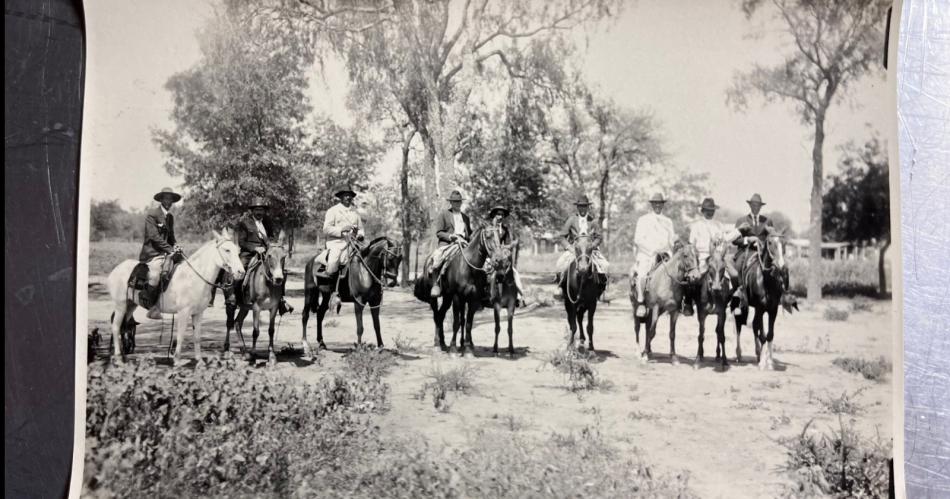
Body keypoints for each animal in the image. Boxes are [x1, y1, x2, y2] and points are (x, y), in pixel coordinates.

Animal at [105, 230, 245, 368]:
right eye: (227, 250)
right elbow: (181, 335)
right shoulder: (183, 312)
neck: (193, 278)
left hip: (130, 305)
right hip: (121, 305)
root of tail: (116, 269)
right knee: (116, 327)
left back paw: (123, 356)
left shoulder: (198, 313)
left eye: (237, 250)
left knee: (123, 327)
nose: (241, 272)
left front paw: (199, 361)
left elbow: (197, 337)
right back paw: (118, 358)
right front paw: (177, 360)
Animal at [225, 234, 288, 368]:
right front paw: (253, 358)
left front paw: (272, 357)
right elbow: (255, 331)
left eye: (284, 256)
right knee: (229, 323)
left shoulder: (273, 308)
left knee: (237, 323)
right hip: (231, 303)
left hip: (244, 307)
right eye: (269, 255)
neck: (268, 284)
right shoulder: (256, 308)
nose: (278, 279)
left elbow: (271, 331)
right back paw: (227, 350)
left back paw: (244, 353)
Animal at [416, 227, 506, 360]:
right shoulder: (457, 297)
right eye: (488, 236)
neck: (469, 268)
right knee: (436, 315)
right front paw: (453, 350)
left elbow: (468, 323)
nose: (498, 260)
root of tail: (429, 260)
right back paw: (437, 345)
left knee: (441, 315)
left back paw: (443, 344)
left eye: (500, 237)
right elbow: (456, 323)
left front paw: (468, 350)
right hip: (436, 298)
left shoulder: (473, 299)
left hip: (447, 298)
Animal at [728, 229, 796, 372]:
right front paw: (762, 364)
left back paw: (758, 353)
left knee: (754, 326)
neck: (766, 281)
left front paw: (769, 362)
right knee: (739, 325)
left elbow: (769, 334)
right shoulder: (760, 308)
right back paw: (739, 354)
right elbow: (763, 335)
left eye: (784, 243)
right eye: (770, 243)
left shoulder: (773, 309)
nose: (781, 267)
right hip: (738, 304)